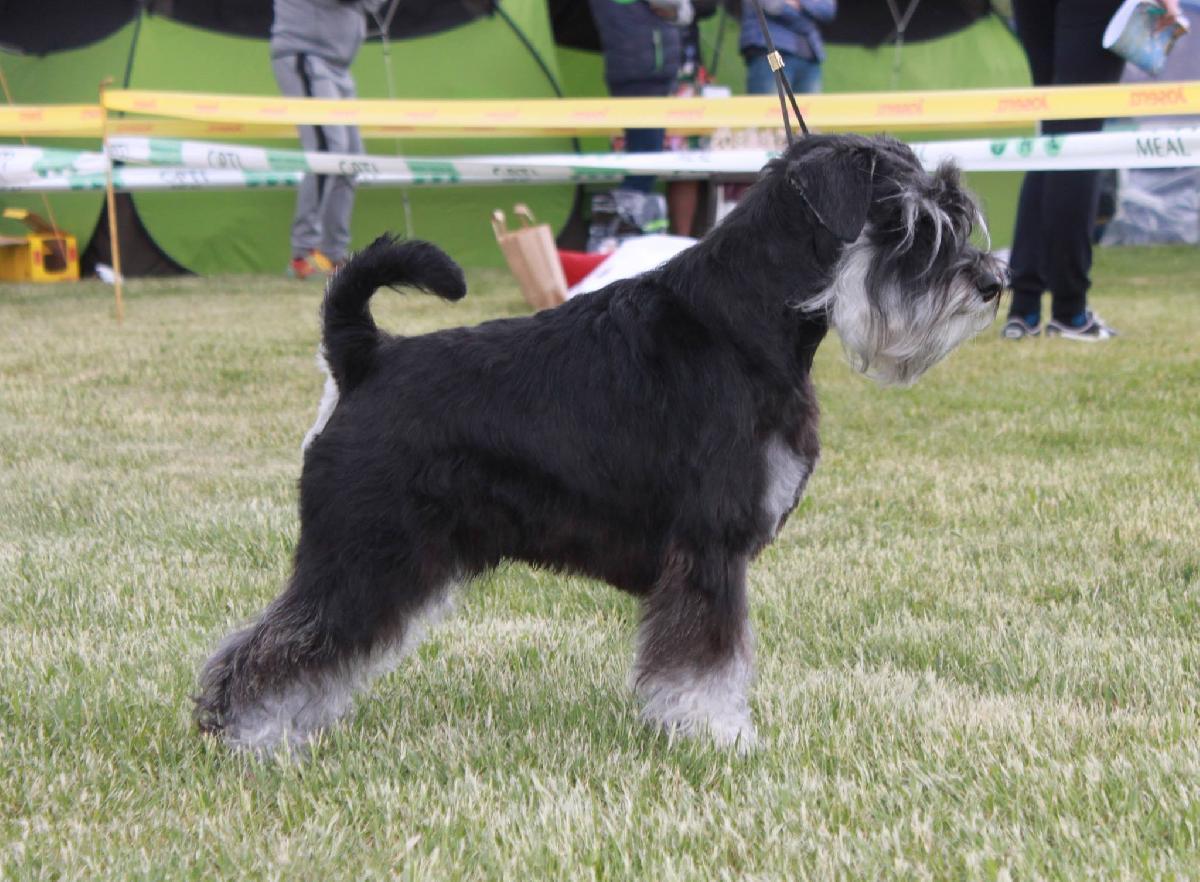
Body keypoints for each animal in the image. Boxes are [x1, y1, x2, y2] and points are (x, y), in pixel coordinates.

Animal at [195, 133, 1005, 754]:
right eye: (909, 224)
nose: (991, 284)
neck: (743, 324)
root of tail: (364, 357)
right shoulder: (709, 547)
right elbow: (708, 662)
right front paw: (719, 736)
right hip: (366, 553)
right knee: (276, 648)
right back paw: (251, 736)